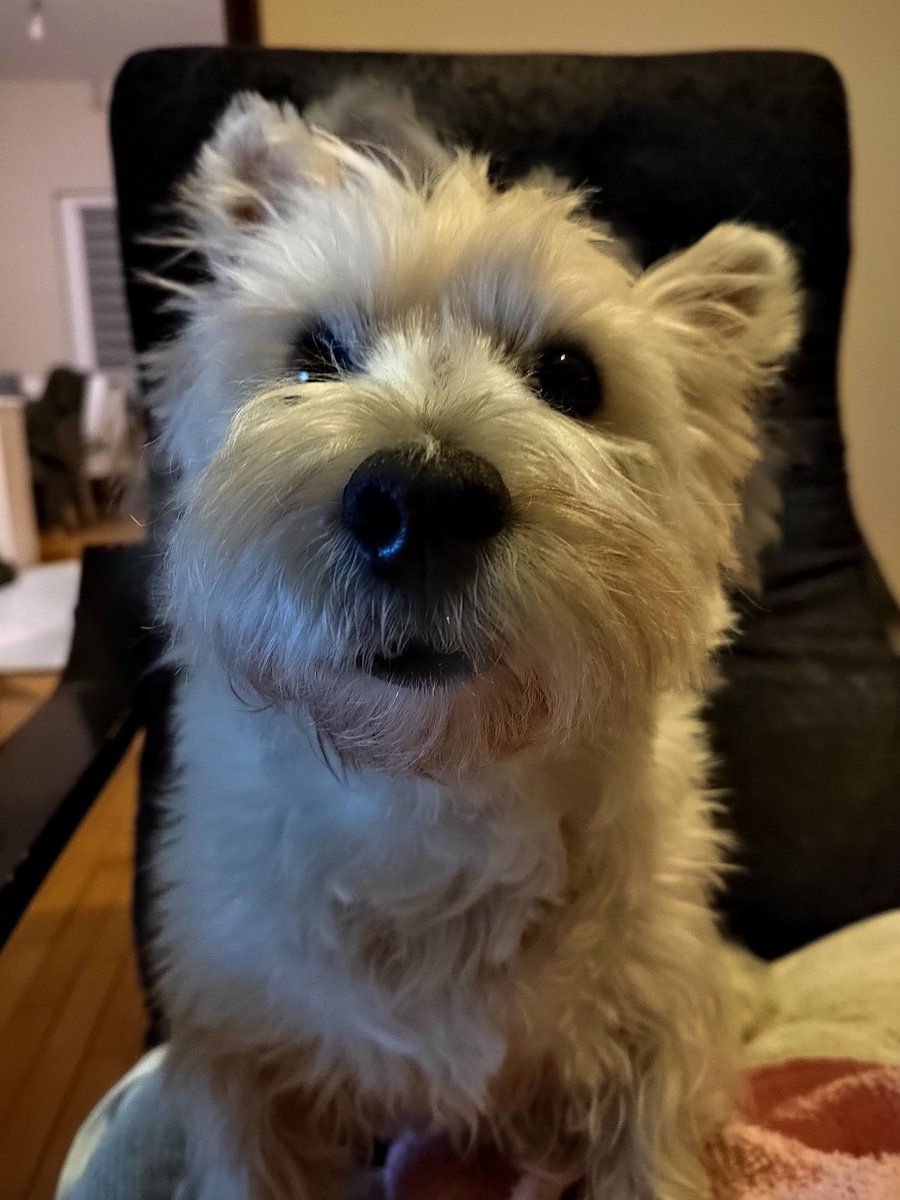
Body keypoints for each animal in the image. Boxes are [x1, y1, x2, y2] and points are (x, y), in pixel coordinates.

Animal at [148, 79, 801, 1195]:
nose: (421, 501)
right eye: (313, 356)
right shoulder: (238, 1053)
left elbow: (652, 1156)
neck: (432, 792)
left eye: (573, 376)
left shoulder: (654, 1038)